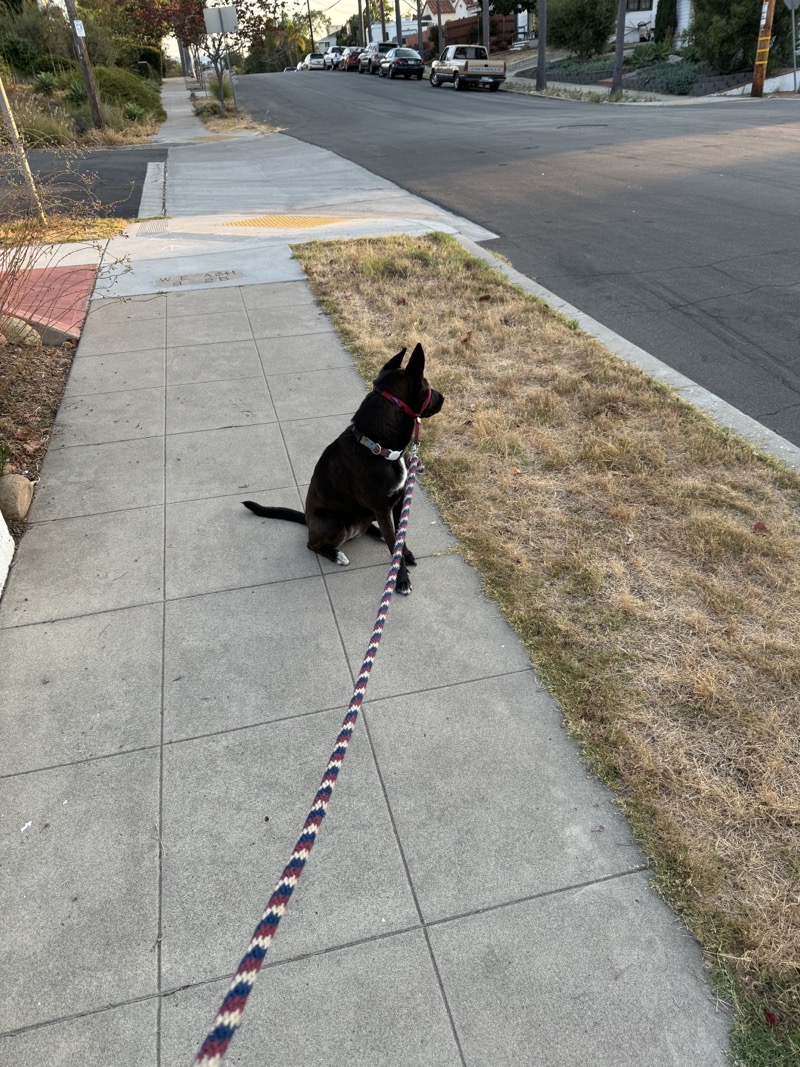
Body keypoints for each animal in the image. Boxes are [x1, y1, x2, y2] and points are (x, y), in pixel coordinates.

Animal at [243, 341, 445, 593]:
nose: (443, 398)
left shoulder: (398, 501)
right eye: (426, 386)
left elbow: (399, 537)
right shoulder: (382, 508)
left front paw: (404, 553)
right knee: (311, 544)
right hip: (334, 523)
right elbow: (393, 545)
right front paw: (401, 579)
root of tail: (307, 520)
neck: (378, 446)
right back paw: (336, 554)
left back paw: (375, 532)